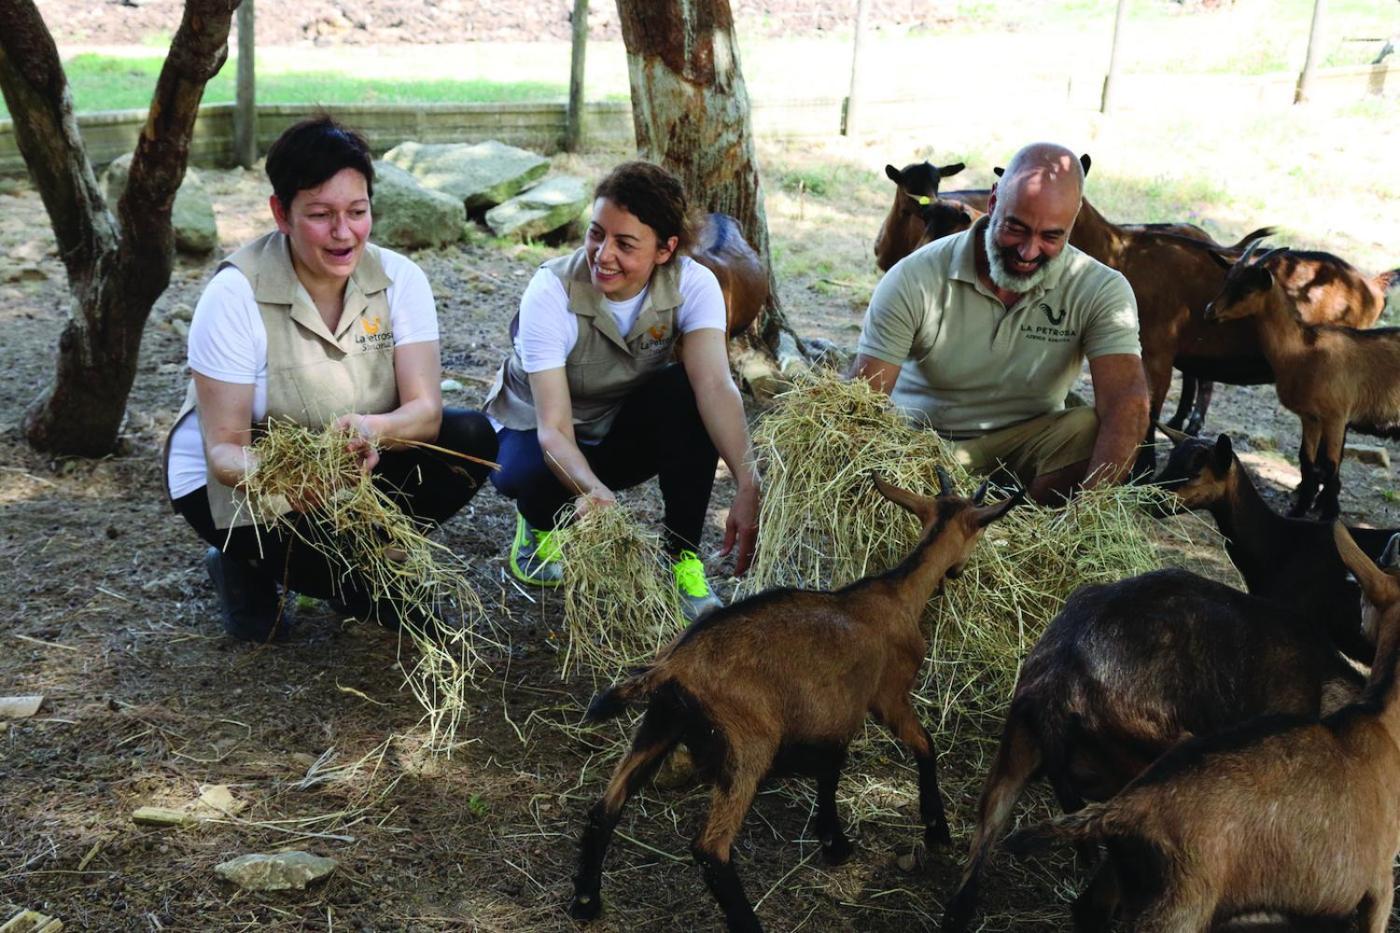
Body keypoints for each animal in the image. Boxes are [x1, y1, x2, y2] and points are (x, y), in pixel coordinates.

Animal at [565, 473, 1019, 930]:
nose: (958, 572)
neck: (897, 591)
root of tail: (675, 666)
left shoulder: (836, 714)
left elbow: (830, 770)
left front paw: (834, 842)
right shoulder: (887, 696)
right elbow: (924, 745)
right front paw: (935, 828)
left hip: (659, 723)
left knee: (605, 808)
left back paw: (586, 901)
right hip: (748, 744)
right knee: (711, 848)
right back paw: (747, 922)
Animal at [1204, 246, 1400, 518]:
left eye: (1248, 289)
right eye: (1227, 280)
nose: (1210, 311)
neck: (1304, 352)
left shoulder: (1335, 417)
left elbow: (1330, 465)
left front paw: (1328, 514)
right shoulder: (1310, 418)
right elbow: (1307, 461)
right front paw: (1298, 509)